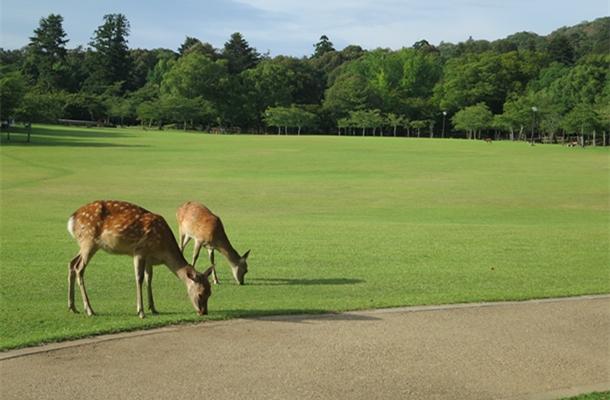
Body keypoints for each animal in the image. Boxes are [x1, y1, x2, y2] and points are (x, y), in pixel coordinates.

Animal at [66, 200, 213, 318]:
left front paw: (153, 308)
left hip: (86, 244)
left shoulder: (149, 259)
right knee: (79, 268)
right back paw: (89, 310)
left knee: (72, 263)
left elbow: (149, 279)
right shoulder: (140, 250)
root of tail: (71, 220)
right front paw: (141, 312)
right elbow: (139, 278)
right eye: (200, 294)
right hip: (89, 240)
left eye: (210, 293)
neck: (163, 249)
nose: (203, 312)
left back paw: (73, 307)